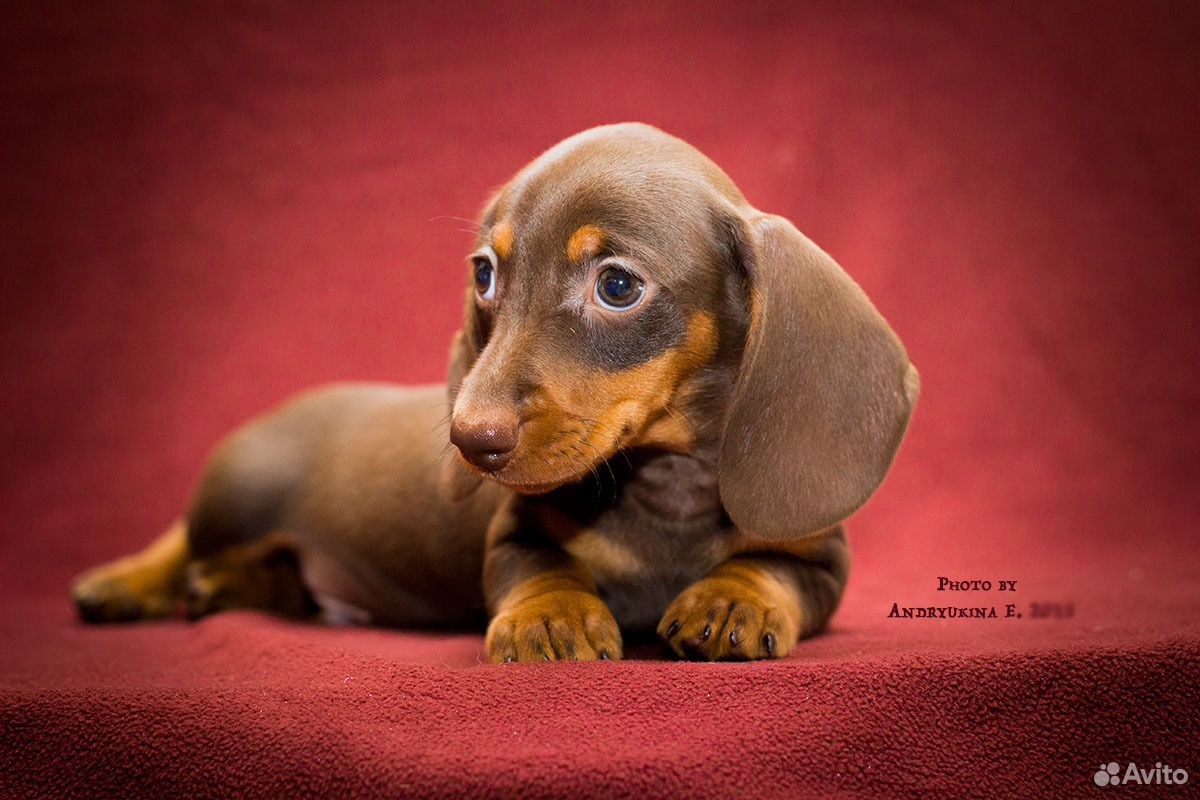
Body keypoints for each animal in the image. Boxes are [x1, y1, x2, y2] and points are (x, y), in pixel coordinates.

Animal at [72, 123, 916, 662]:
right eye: (485, 272)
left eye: (617, 286)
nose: (468, 441)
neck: (665, 480)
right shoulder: (514, 532)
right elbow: (538, 566)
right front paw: (553, 617)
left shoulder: (823, 561)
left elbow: (773, 570)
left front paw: (730, 597)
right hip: (235, 496)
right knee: (183, 534)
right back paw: (125, 581)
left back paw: (219, 585)